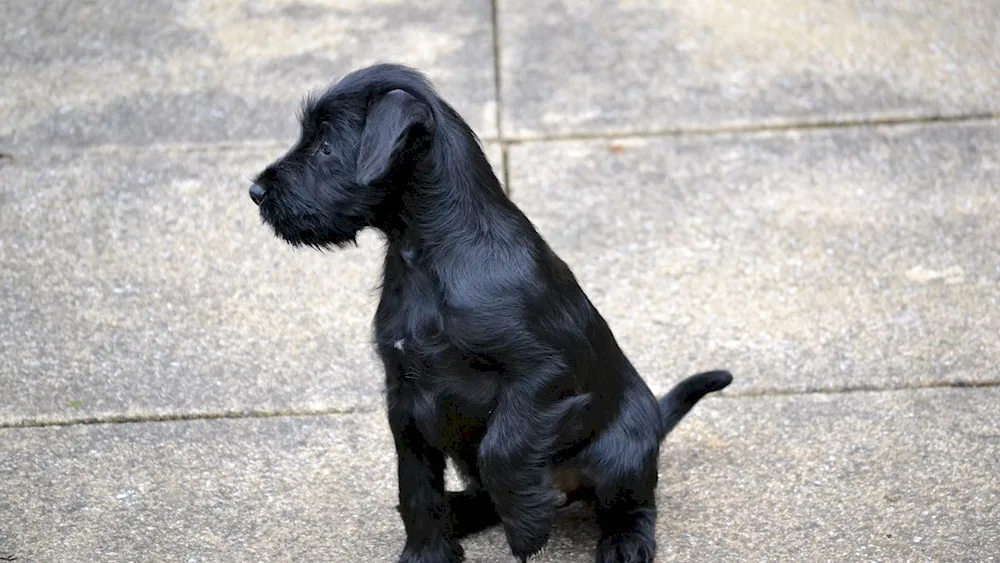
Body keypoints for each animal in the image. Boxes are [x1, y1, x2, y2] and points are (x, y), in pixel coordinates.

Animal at [250, 65, 736, 563]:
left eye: (326, 146)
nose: (255, 191)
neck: (427, 257)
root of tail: (655, 421)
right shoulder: (403, 395)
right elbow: (416, 484)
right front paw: (427, 551)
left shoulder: (541, 372)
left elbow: (502, 449)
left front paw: (527, 526)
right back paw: (462, 510)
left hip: (622, 451)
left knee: (634, 502)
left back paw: (623, 541)